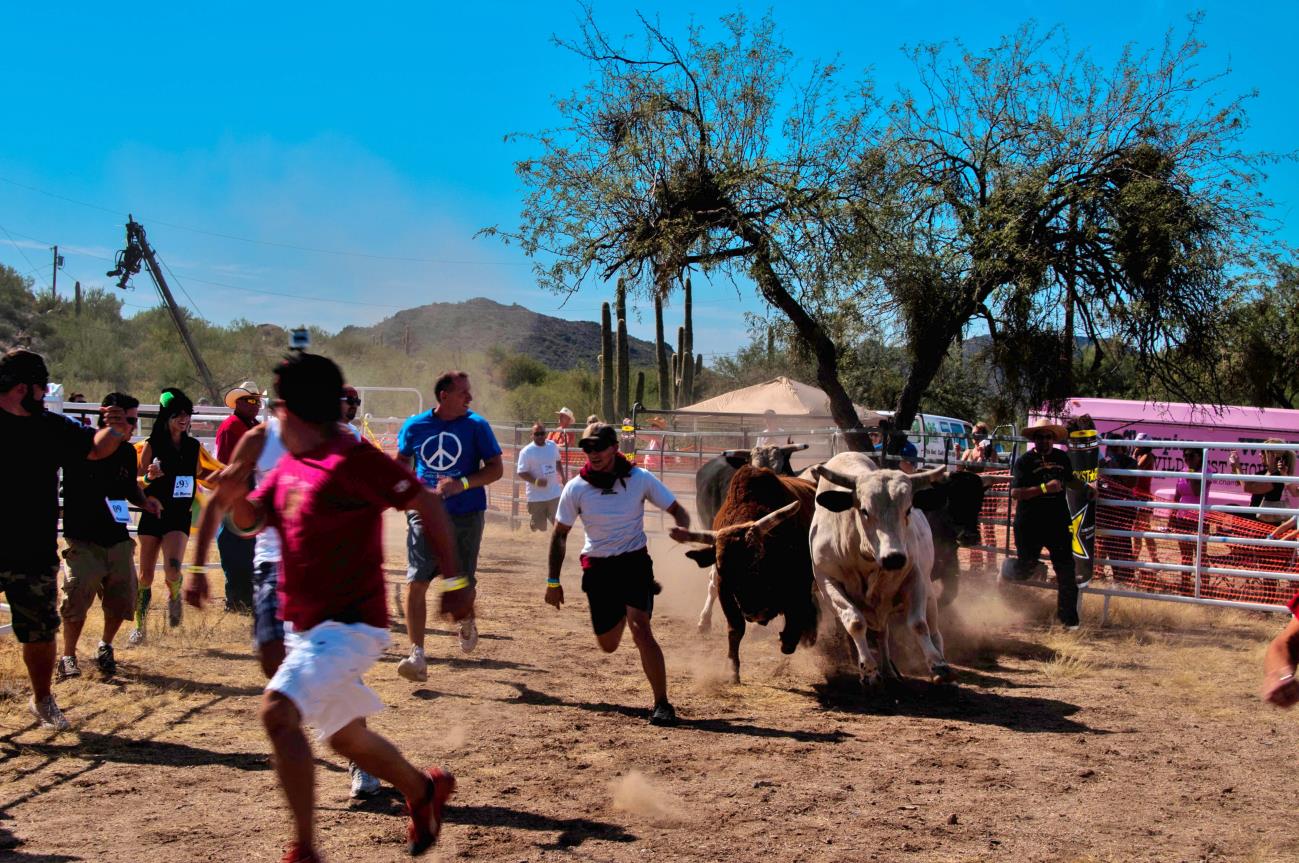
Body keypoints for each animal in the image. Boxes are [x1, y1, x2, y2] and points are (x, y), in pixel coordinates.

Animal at [810, 452, 956, 686]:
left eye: (908, 509)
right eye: (864, 511)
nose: (894, 558)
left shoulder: (915, 577)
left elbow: (918, 624)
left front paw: (938, 664)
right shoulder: (827, 581)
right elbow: (855, 622)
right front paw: (868, 670)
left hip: (928, 594)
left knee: (933, 630)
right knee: (882, 633)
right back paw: (886, 669)